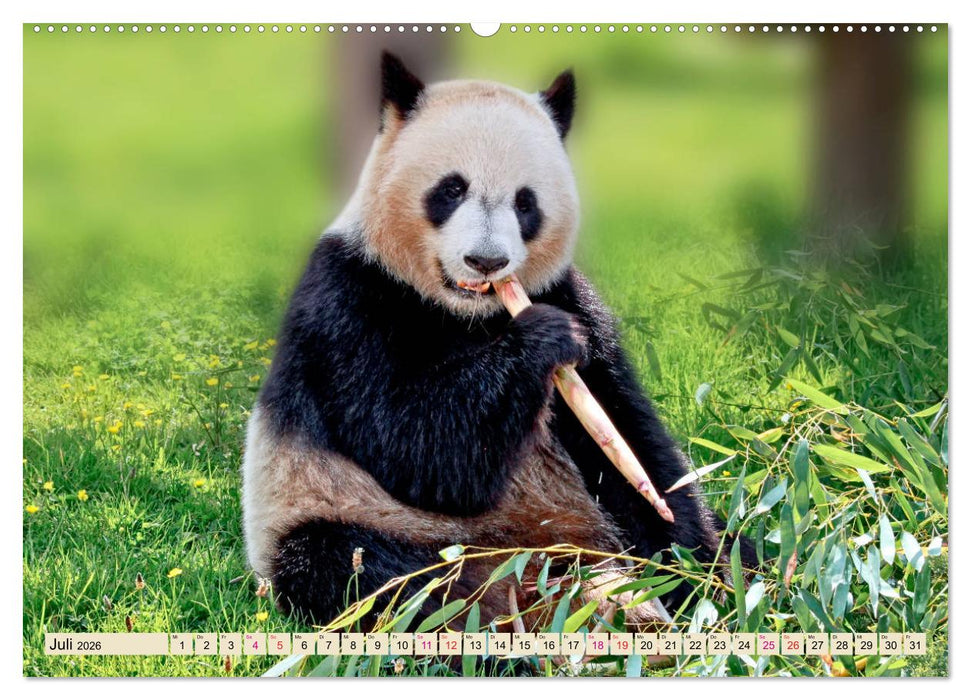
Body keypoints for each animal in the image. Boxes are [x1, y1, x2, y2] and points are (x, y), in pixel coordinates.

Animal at [242, 52, 748, 629]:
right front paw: (542, 338)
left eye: (525, 203)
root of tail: (531, 567)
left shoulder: (570, 296)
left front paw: (696, 572)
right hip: (340, 515)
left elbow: (628, 441)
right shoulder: (348, 300)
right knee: (360, 572)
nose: (486, 261)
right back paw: (483, 626)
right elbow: (419, 446)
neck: (468, 314)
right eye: (451, 189)